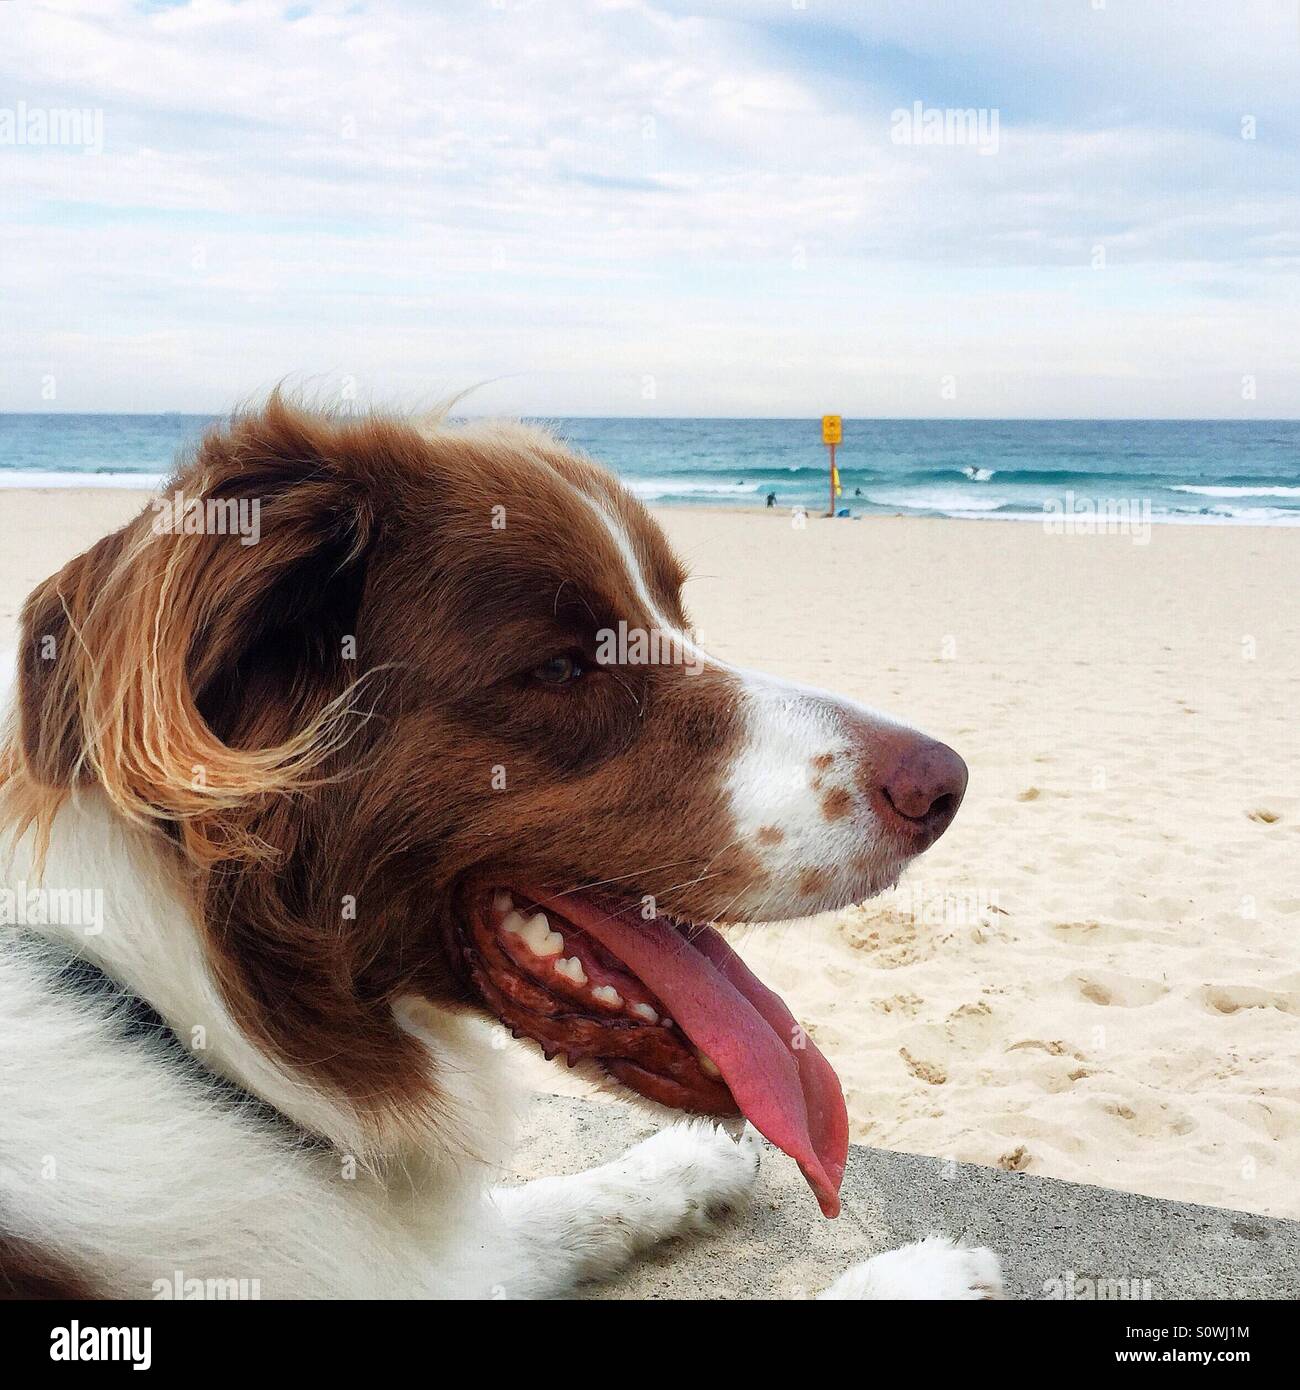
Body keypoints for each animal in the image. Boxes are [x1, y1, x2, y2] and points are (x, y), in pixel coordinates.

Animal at [0, 397, 1006, 1295]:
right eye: (561, 666)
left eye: (676, 616)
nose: (946, 784)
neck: (196, 1031)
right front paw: (920, 1274)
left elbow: (543, 1213)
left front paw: (683, 1163)